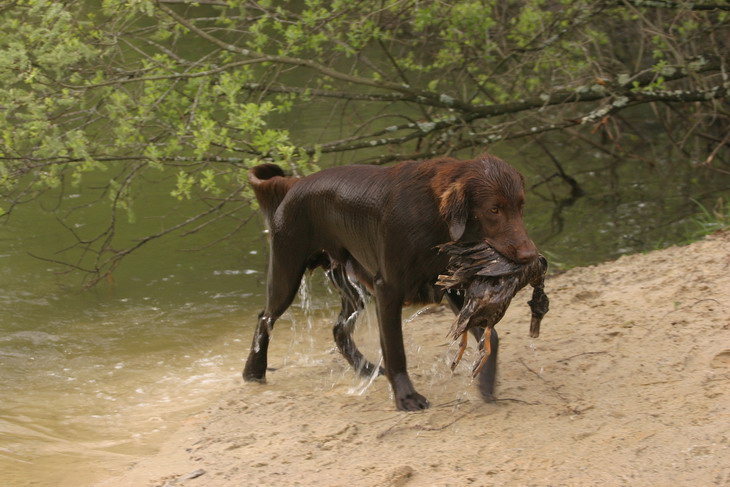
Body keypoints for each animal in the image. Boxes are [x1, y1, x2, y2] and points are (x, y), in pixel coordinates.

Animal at [243, 154, 536, 410]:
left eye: (521, 206)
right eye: (494, 209)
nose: (530, 255)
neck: (432, 216)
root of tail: (295, 182)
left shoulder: (450, 283)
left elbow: (491, 336)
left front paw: (486, 382)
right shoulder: (388, 289)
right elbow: (395, 350)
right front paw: (406, 397)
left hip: (351, 286)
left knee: (338, 330)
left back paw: (367, 370)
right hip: (287, 272)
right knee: (264, 317)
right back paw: (253, 371)